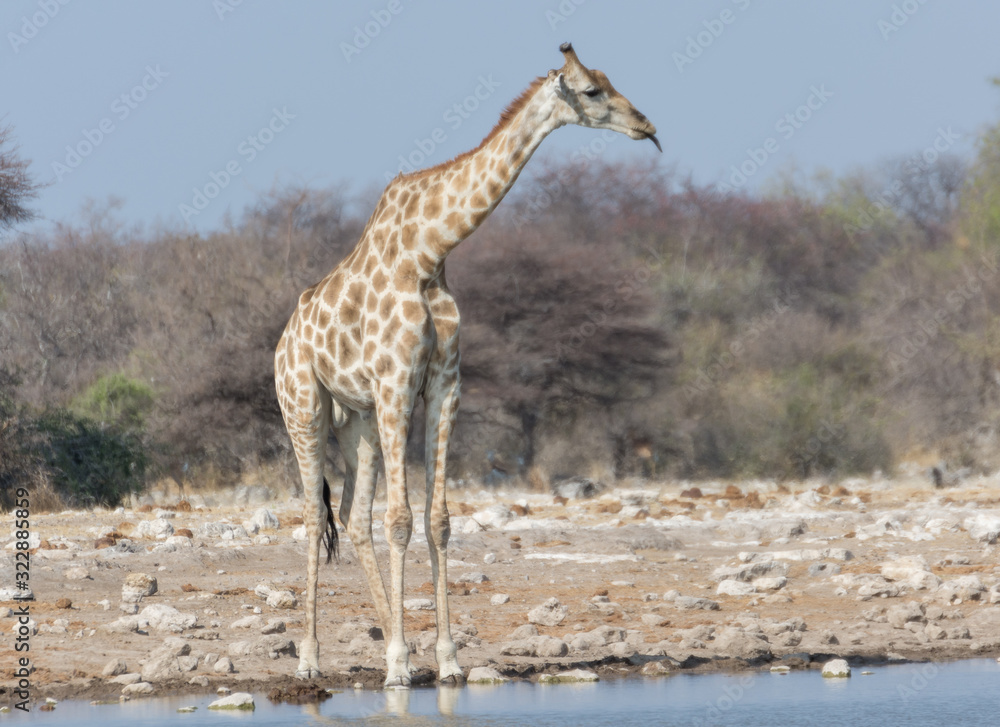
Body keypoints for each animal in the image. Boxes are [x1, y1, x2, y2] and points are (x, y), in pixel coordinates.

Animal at [274, 42, 659, 689]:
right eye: (591, 90)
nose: (647, 127)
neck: (430, 252)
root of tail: (280, 344)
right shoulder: (397, 384)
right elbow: (401, 521)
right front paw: (400, 665)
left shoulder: (443, 385)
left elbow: (438, 520)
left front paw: (444, 658)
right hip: (304, 407)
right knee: (310, 514)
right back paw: (309, 658)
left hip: (357, 420)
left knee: (351, 517)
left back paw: (388, 639)